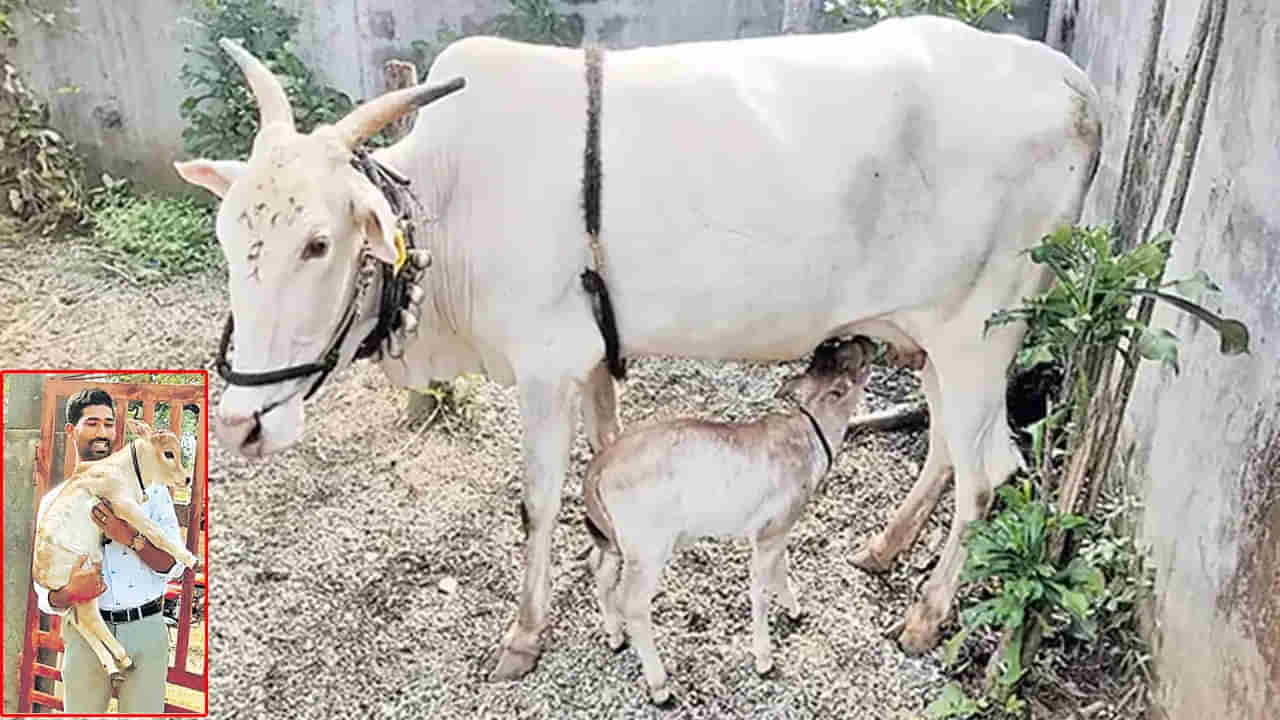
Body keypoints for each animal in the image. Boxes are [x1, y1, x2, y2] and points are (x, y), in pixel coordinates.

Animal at [175, 16, 1105, 676]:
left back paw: (924, 618)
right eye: (226, 235)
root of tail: (1073, 86)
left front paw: (525, 635)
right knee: (952, 445)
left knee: (989, 472)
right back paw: (883, 549)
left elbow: (538, 501)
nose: (243, 422)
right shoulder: (591, 356)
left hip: (983, 330)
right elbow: (606, 457)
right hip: (932, 336)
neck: (451, 201)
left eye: (319, 243)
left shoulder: (545, 366)